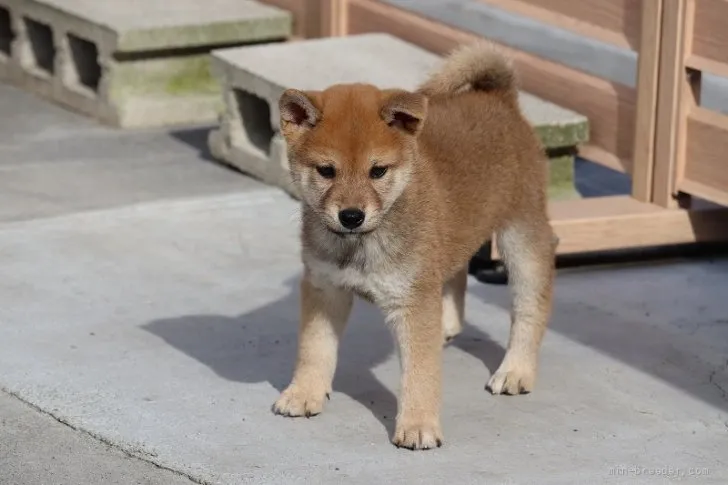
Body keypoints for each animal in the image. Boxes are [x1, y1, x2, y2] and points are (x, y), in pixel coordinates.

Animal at [272, 41, 552, 450]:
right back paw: (448, 325)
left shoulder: (413, 303)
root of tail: (500, 99)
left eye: (377, 171)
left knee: (530, 306)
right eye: (326, 171)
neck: (361, 244)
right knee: (456, 270)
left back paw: (516, 370)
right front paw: (303, 393)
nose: (351, 216)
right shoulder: (324, 288)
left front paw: (418, 425)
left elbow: (420, 374)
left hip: (521, 237)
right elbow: (314, 348)